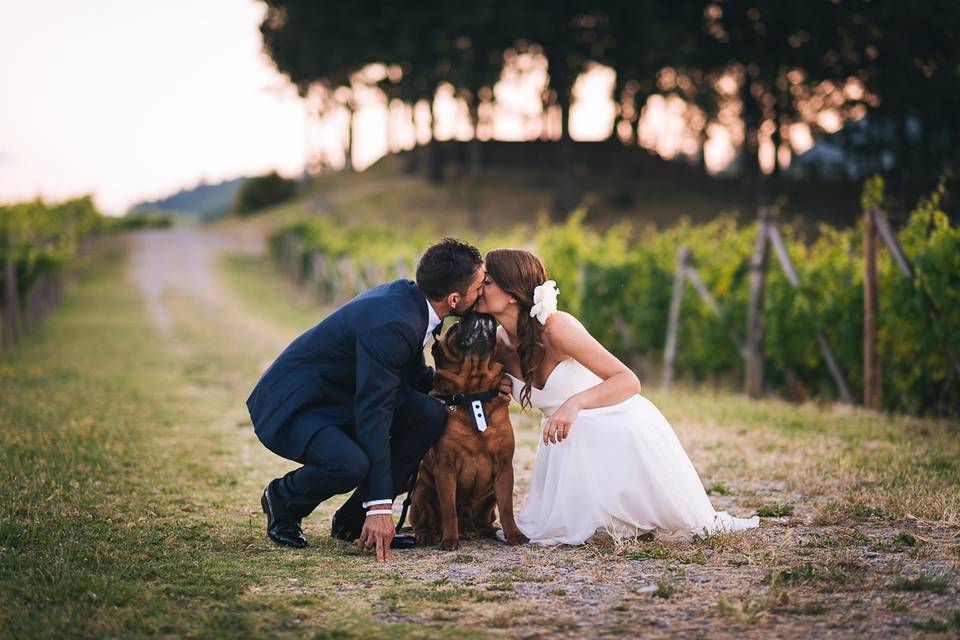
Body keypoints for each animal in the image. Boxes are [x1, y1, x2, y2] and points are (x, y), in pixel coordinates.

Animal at [410, 312, 528, 548]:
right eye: (455, 328)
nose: (479, 313)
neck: (474, 394)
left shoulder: (504, 466)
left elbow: (507, 507)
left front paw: (514, 534)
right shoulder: (445, 469)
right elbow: (449, 509)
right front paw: (449, 539)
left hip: (489, 498)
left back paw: (488, 530)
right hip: (421, 492)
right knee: (423, 520)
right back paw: (429, 534)